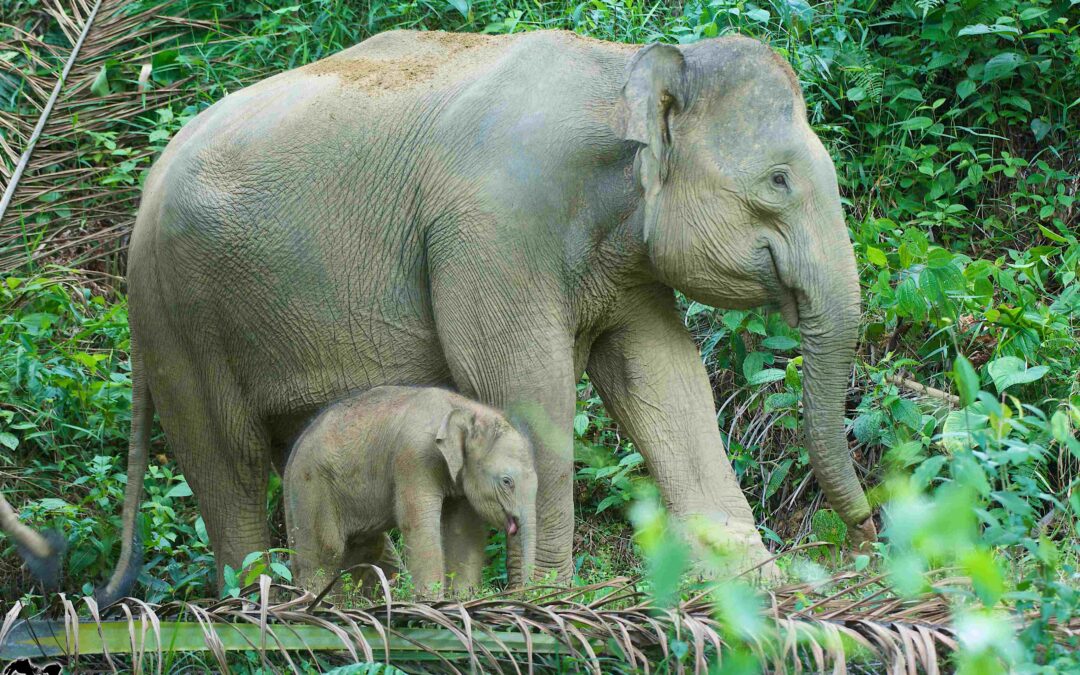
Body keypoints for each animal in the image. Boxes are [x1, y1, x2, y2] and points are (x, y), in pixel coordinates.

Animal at [284, 386, 537, 599]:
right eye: (507, 481)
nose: (526, 593)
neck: (464, 409)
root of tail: (294, 451)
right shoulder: (414, 457)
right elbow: (418, 522)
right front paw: (430, 602)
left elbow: (463, 531)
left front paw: (464, 599)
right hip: (311, 487)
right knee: (325, 551)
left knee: (363, 547)